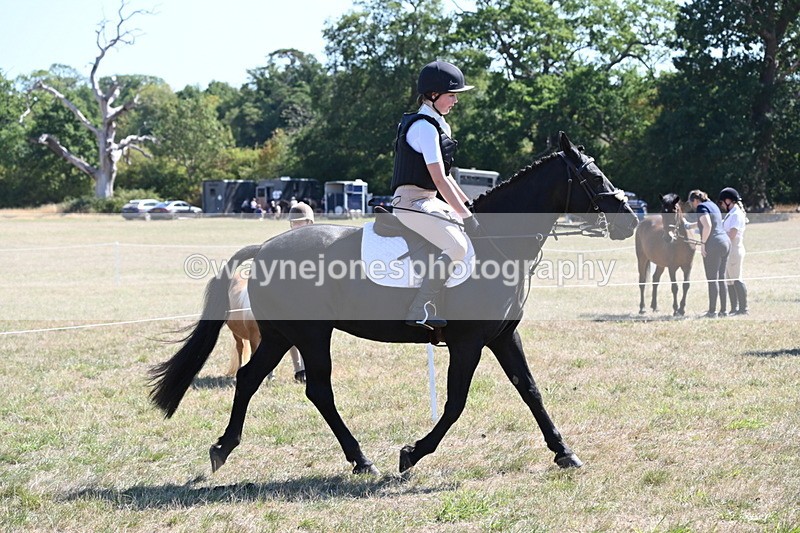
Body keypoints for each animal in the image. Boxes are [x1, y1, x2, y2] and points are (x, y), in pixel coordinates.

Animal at [148, 132, 639, 476]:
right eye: (593, 178)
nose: (631, 221)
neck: (496, 242)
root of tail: (266, 247)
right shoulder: (468, 342)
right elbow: (456, 402)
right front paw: (413, 453)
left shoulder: (502, 336)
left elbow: (530, 390)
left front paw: (565, 452)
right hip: (310, 334)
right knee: (317, 389)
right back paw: (361, 459)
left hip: (281, 334)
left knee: (249, 378)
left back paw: (223, 447)